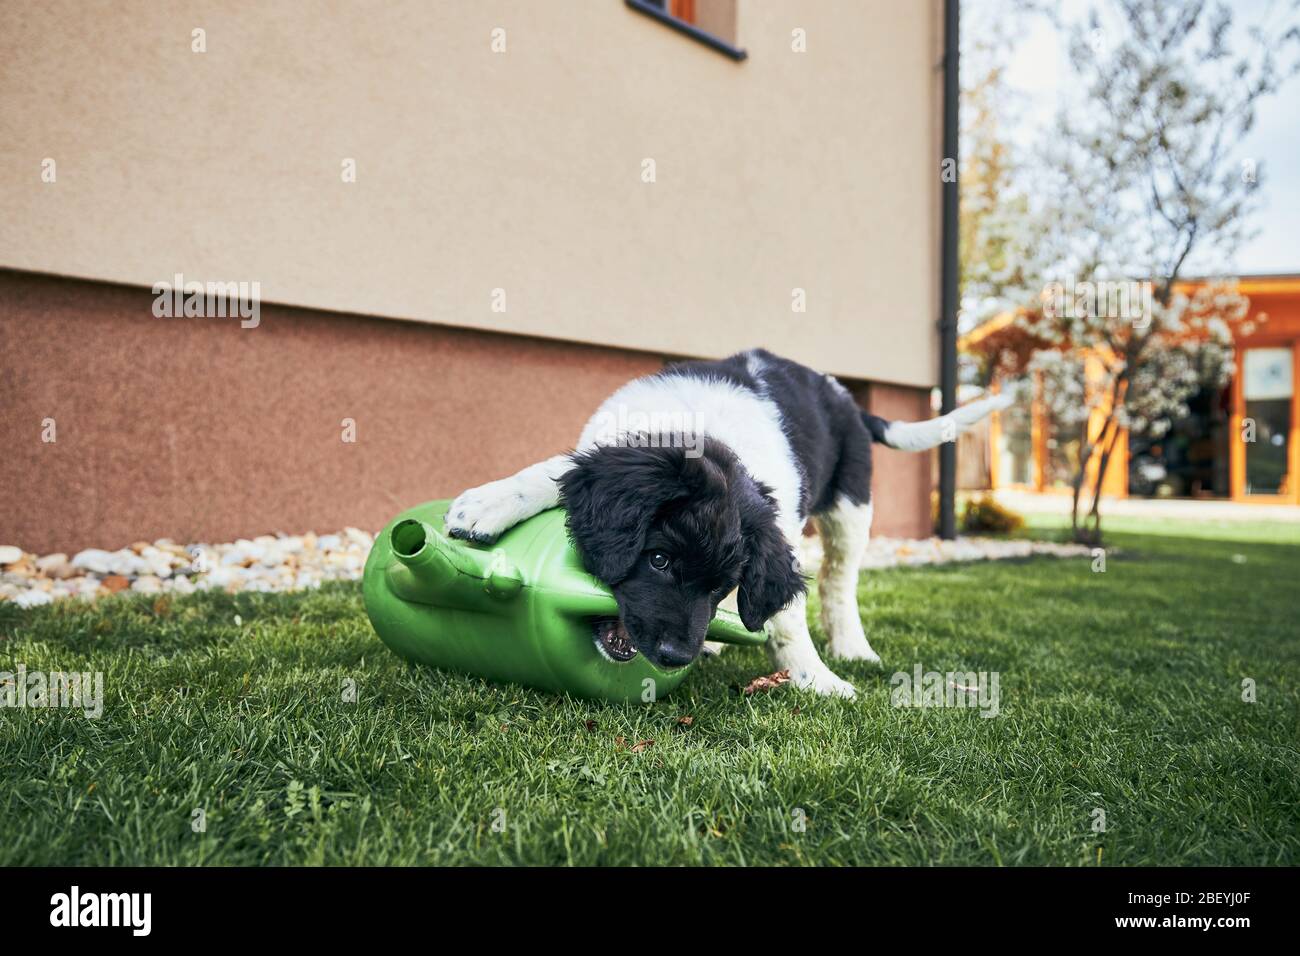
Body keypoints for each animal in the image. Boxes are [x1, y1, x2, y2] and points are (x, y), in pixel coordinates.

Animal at [441, 348, 1008, 697]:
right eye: (658, 559)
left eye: (720, 585)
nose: (675, 656)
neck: (700, 434)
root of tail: (841, 394)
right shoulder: (607, 447)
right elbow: (549, 471)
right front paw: (485, 505)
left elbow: (787, 614)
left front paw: (814, 676)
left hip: (852, 503)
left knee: (838, 580)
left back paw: (850, 646)